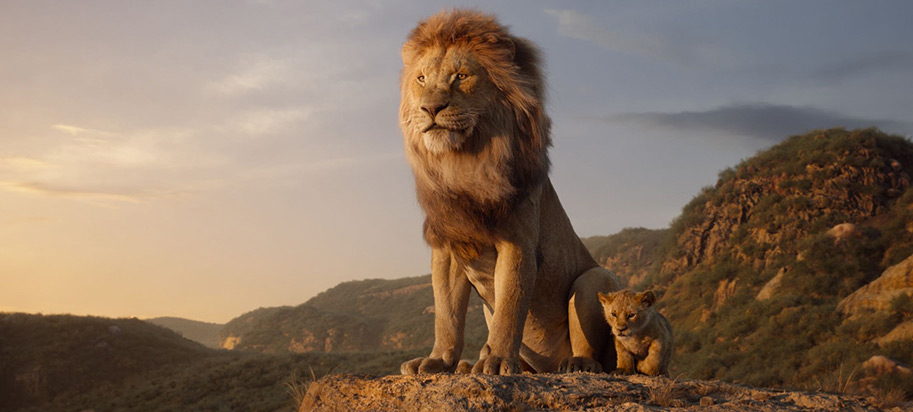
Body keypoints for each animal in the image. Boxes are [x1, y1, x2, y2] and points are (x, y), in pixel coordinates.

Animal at [398, 9, 622, 375]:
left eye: (461, 76)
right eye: (421, 79)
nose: (430, 109)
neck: (464, 163)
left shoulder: (517, 242)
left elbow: (510, 307)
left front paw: (498, 360)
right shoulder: (448, 247)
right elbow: (447, 315)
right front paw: (438, 360)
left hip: (595, 279)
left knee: (593, 350)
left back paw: (576, 364)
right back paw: (468, 365)